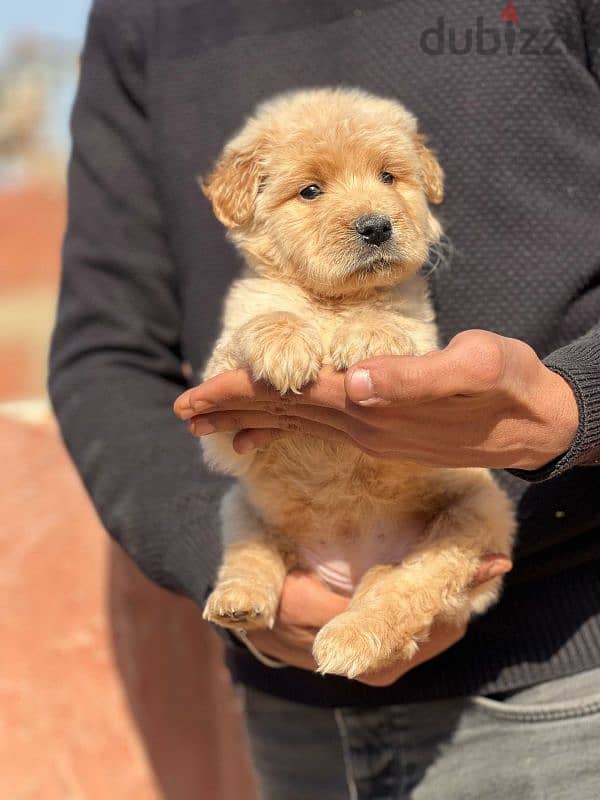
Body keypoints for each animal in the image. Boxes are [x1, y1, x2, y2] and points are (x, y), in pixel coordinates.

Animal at [198, 86, 516, 676]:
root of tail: (348, 567)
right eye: (310, 190)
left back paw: (352, 637)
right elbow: (253, 327)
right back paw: (239, 603)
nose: (376, 226)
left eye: (389, 177)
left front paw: (367, 336)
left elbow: (393, 323)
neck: (332, 305)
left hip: (475, 514)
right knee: (253, 553)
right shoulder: (220, 423)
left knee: (401, 586)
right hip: (243, 507)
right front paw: (282, 344)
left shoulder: (424, 344)